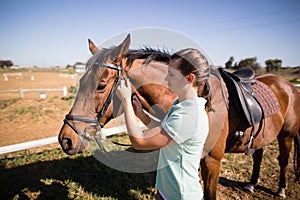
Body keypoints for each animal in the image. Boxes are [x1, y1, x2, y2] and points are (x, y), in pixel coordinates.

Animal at [58, 34, 300, 198]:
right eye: (81, 81)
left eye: (100, 85)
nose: (65, 139)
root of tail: (289, 86)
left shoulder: (212, 161)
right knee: (258, 155)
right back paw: (251, 184)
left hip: (286, 136)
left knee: (282, 160)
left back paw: (281, 189)